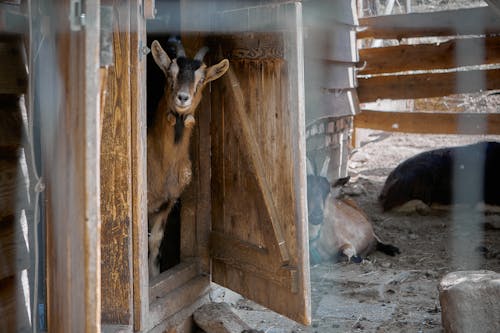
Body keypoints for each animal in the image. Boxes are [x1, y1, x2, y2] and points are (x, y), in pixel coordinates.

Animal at [146, 39, 229, 276]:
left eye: (201, 80)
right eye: (170, 73)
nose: (182, 98)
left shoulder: (167, 203)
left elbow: (155, 243)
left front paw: (154, 276)